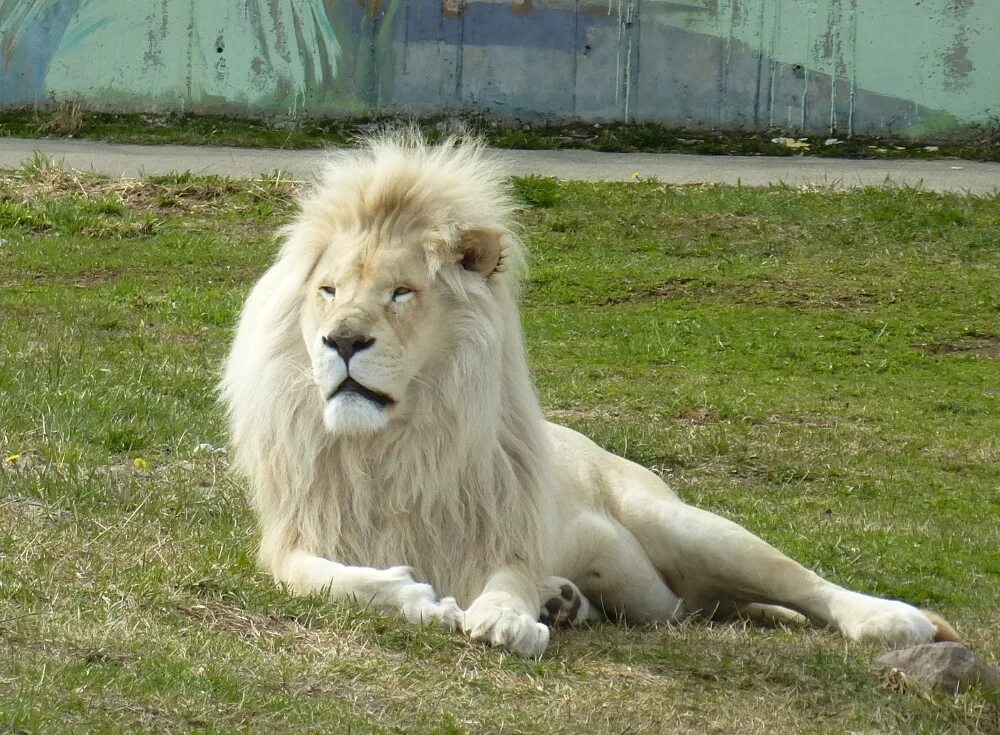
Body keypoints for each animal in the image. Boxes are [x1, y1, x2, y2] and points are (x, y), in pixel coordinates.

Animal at [223, 131, 956, 656]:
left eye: (402, 293)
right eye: (329, 291)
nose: (342, 341)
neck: (392, 443)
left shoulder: (507, 528)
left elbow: (509, 577)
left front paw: (508, 618)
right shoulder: (288, 539)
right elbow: (325, 579)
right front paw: (416, 598)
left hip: (685, 525)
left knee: (806, 583)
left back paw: (895, 620)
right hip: (681, 595)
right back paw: (566, 602)